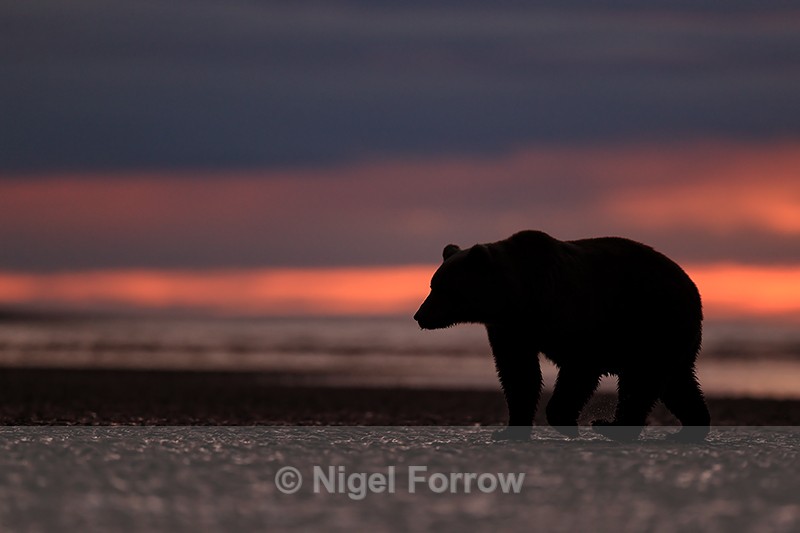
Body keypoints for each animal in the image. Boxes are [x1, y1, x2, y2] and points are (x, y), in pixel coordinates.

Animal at [413, 230, 710, 442]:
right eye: (432, 284)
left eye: (444, 288)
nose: (420, 315)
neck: (520, 297)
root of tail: (692, 287)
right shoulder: (510, 329)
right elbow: (518, 373)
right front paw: (510, 428)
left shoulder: (571, 313)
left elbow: (579, 368)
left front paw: (567, 420)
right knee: (677, 384)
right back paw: (690, 428)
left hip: (652, 322)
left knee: (641, 380)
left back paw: (610, 425)